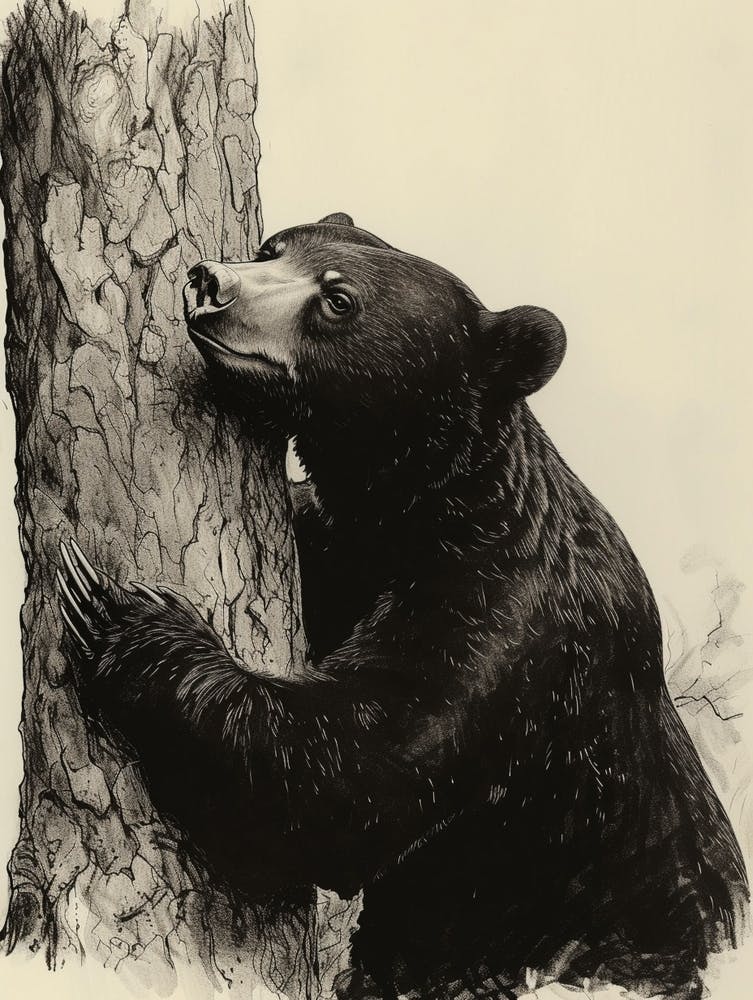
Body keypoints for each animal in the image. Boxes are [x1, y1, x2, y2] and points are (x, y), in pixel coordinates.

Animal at [57, 213, 748, 1000]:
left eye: (338, 302)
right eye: (272, 249)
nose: (210, 281)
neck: (420, 506)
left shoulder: (502, 627)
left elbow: (350, 777)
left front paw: (115, 607)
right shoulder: (341, 551)